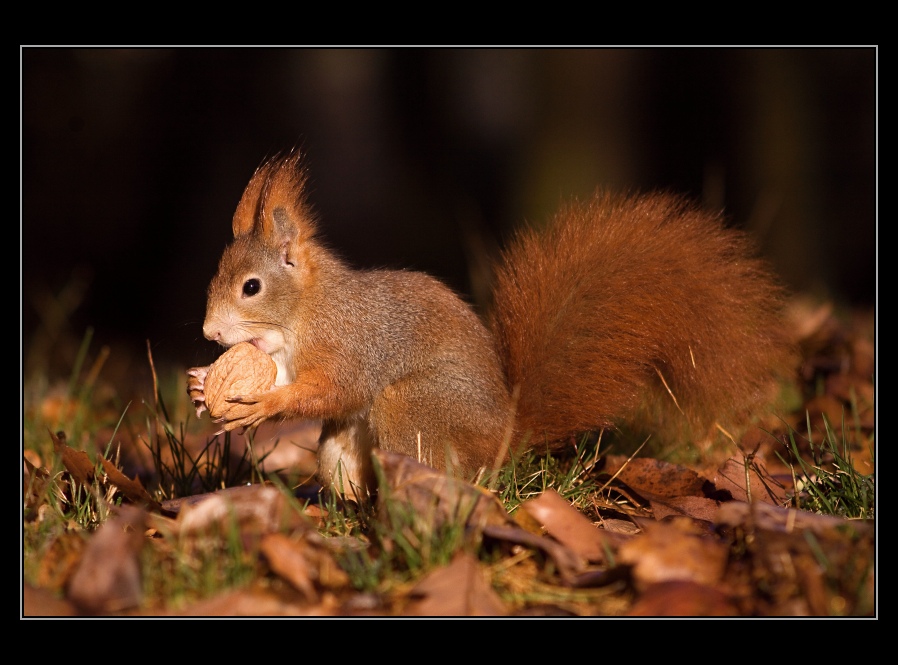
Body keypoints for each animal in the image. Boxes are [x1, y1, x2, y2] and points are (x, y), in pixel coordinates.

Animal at [187, 149, 792, 498]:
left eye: (251, 287)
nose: (210, 336)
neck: (302, 315)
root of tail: (505, 436)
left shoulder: (350, 342)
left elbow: (336, 388)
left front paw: (265, 404)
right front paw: (201, 383)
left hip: (415, 406)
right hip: (343, 451)